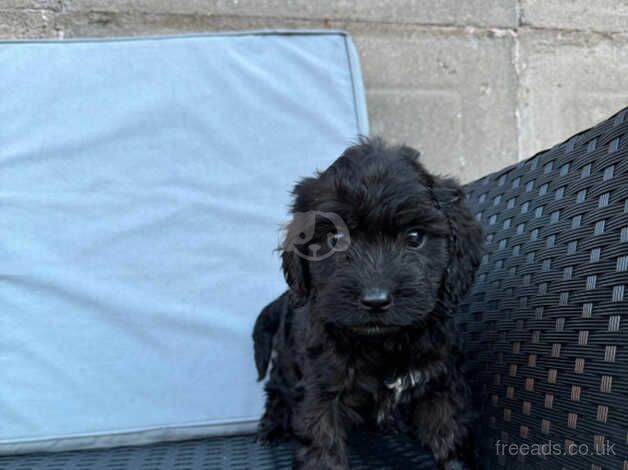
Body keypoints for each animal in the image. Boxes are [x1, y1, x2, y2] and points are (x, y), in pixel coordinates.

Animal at [253, 138, 484, 468]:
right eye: (335, 238)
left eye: (415, 236)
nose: (375, 300)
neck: (382, 345)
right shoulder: (319, 391)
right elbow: (321, 446)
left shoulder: (439, 382)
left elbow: (450, 433)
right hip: (285, 361)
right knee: (275, 389)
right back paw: (270, 427)